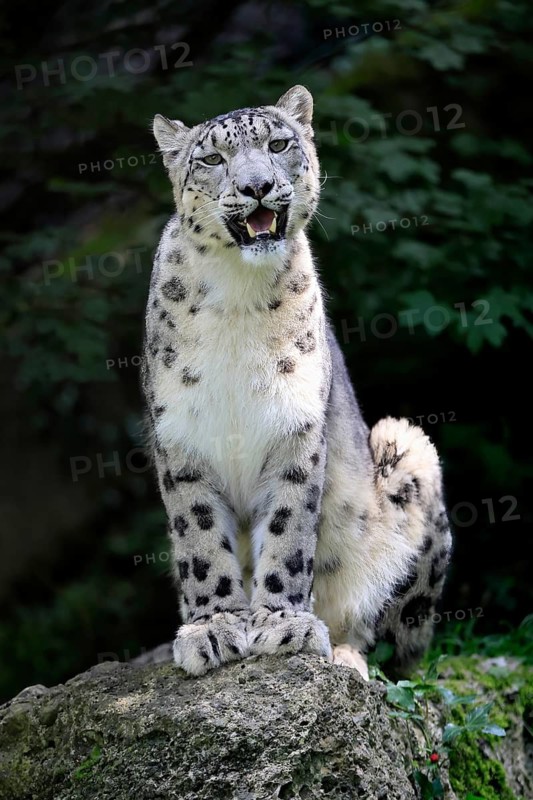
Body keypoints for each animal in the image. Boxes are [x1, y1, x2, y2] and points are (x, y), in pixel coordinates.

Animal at [141, 85, 452, 681]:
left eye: (279, 144)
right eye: (211, 158)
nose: (256, 186)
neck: (238, 296)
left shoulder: (295, 427)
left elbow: (289, 531)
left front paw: (282, 624)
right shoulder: (181, 435)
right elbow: (199, 538)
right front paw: (215, 626)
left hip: (408, 451)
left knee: (398, 649)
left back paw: (348, 655)